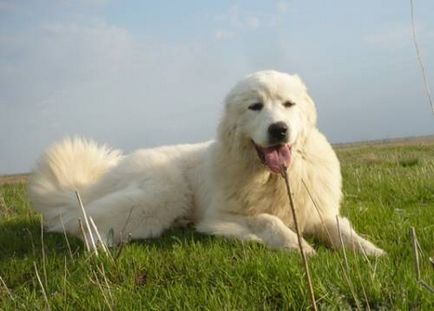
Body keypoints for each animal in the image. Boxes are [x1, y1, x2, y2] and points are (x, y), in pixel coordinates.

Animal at [28, 70, 384, 256]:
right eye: (255, 107)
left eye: (288, 104)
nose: (279, 129)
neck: (272, 177)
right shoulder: (222, 216)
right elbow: (269, 220)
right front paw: (299, 246)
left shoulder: (317, 212)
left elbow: (342, 232)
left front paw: (372, 253)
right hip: (160, 197)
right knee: (81, 219)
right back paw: (98, 246)